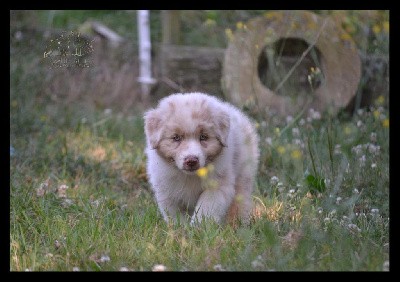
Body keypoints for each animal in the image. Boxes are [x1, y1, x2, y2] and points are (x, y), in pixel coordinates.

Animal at [144, 93, 260, 226]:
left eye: (203, 137)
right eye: (176, 138)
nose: (191, 160)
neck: (190, 176)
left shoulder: (217, 185)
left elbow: (206, 207)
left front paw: (198, 227)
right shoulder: (167, 191)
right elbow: (176, 215)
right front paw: (181, 229)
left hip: (244, 174)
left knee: (241, 201)